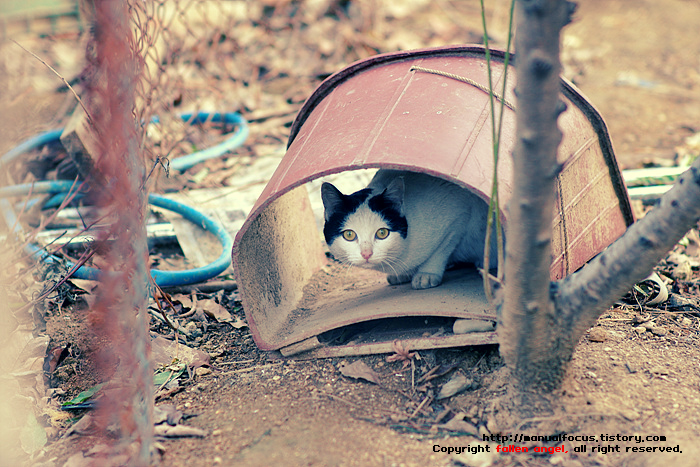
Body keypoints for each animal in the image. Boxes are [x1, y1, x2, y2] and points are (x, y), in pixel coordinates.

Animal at [320, 170, 500, 290]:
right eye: (349, 235)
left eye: (382, 233)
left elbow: (440, 250)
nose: (366, 254)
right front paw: (403, 274)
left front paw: (427, 274)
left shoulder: (459, 213)